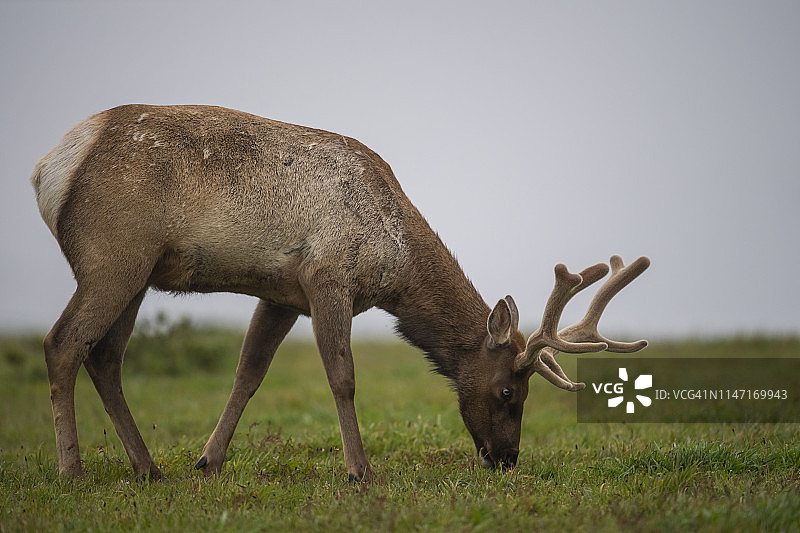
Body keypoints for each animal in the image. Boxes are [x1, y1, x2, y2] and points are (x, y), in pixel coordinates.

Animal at [31, 104, 650, 482]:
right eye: (508, 392)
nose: (507, 459)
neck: (395, 266)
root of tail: (47, 168)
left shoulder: (281, 292)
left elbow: (248, 372)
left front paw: (209, 459)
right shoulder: (327, 277)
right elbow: (343, 377)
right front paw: (360, 470)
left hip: (137, 272)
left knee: (105, 357)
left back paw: (149, 468)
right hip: (113, 257)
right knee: (63, 343)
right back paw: (72, 471)